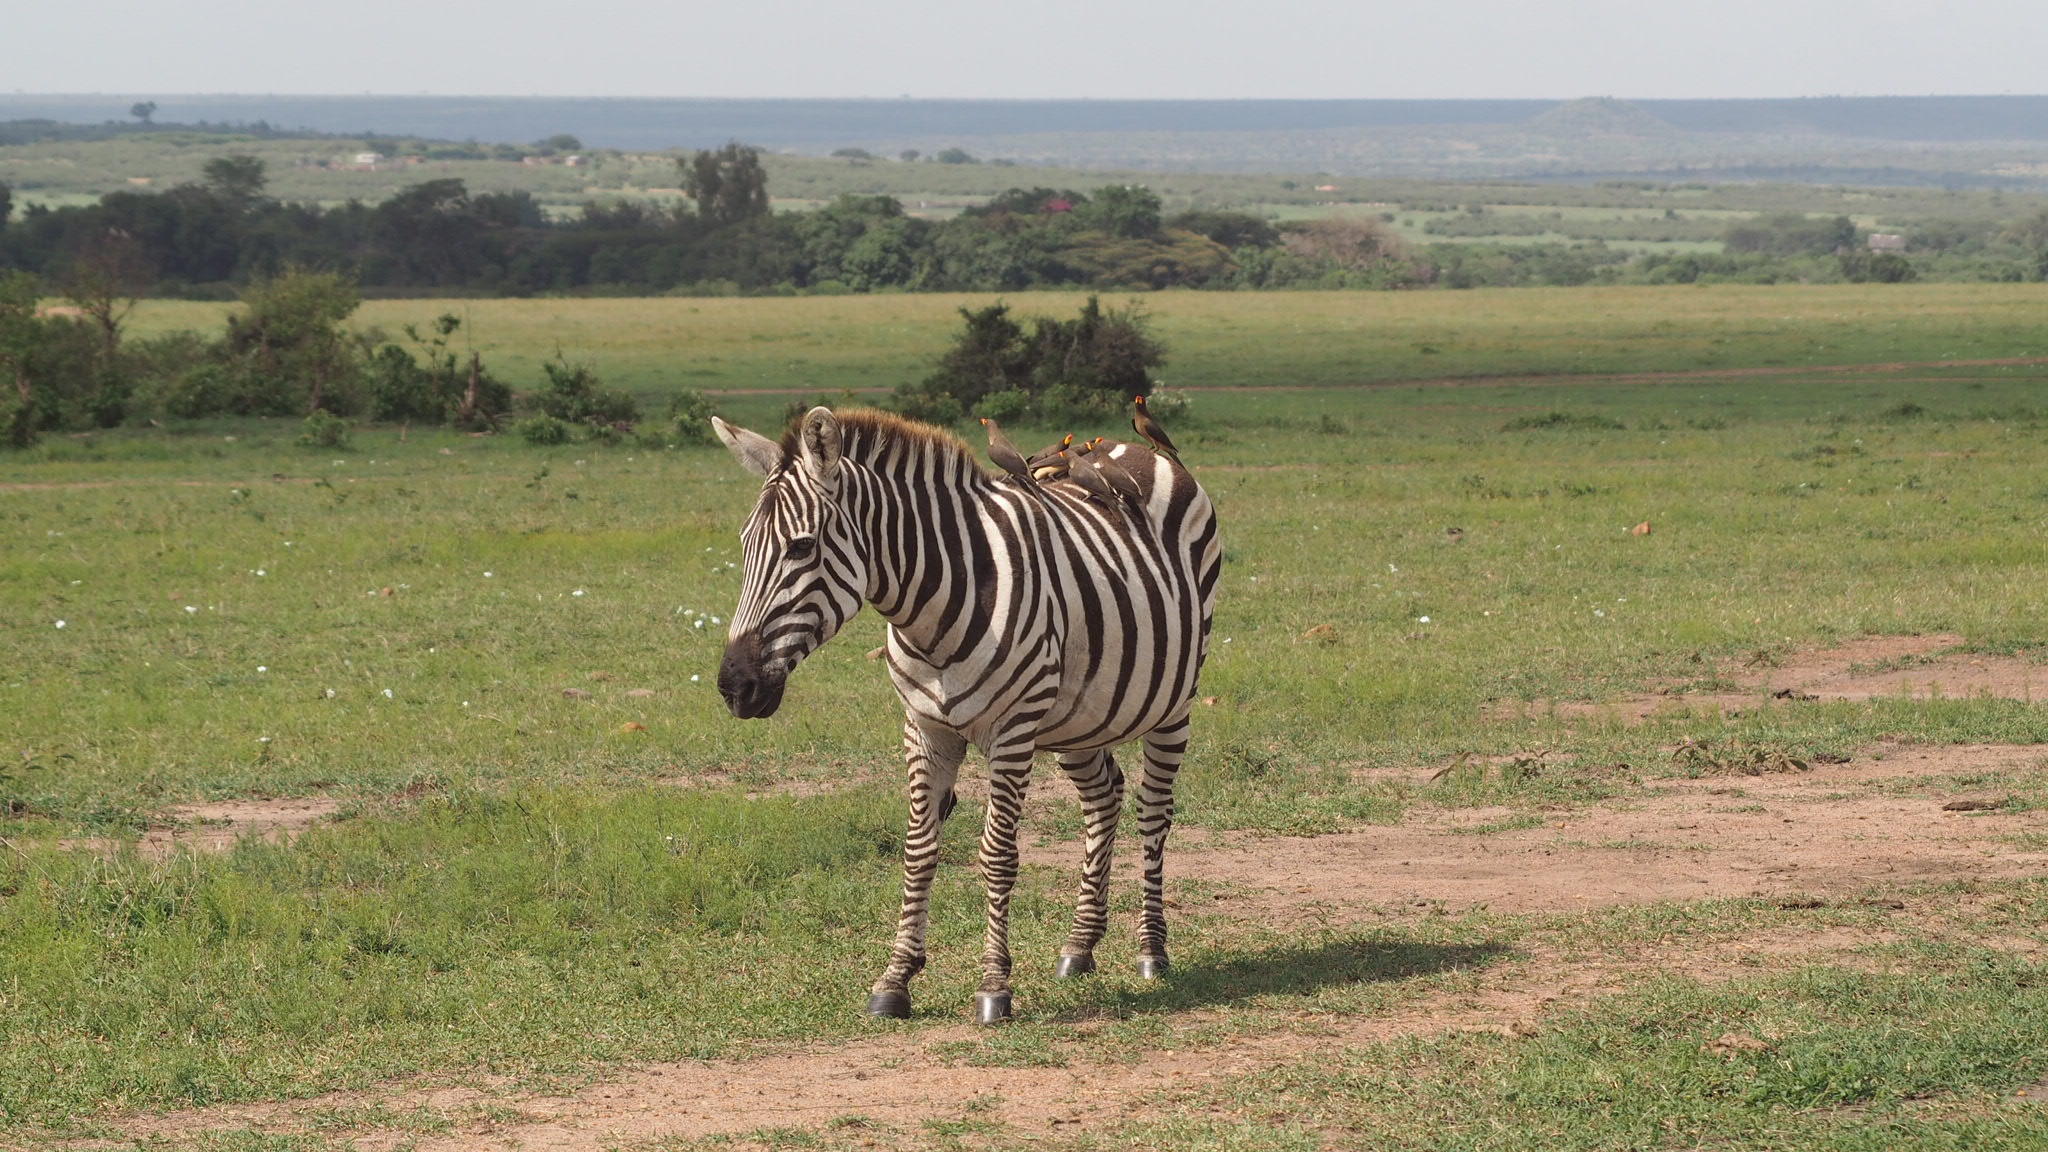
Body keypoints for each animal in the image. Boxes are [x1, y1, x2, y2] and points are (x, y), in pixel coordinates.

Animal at [712, 407, 1212, 1016]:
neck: (933, 616)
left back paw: (1152, 950)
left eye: (802, 548)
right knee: (1103, 798)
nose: (734, 687)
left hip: (1173, 702)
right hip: (1081, 713)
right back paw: (1080, 945)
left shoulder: (1012, 730)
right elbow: (918, 849)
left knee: (1153, 812)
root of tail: (1128, 447)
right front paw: (895, 979)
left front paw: (994, 986)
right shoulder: (924, 728)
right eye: (744, 545)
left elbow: (997, 855)